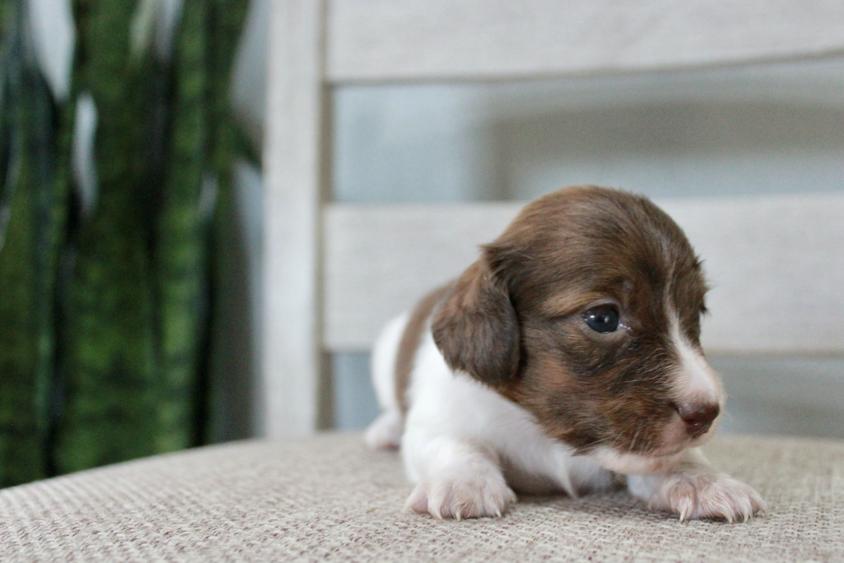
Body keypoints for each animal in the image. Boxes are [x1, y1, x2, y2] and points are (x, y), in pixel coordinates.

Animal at [362, 187, 764, 524]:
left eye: (697, 311)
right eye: (603, 318)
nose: (707, 414)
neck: (546, 434)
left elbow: (672, 459)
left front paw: (701, 480)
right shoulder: (437, 421)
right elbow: (455, 445)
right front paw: (464, 482)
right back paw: (385, 429)